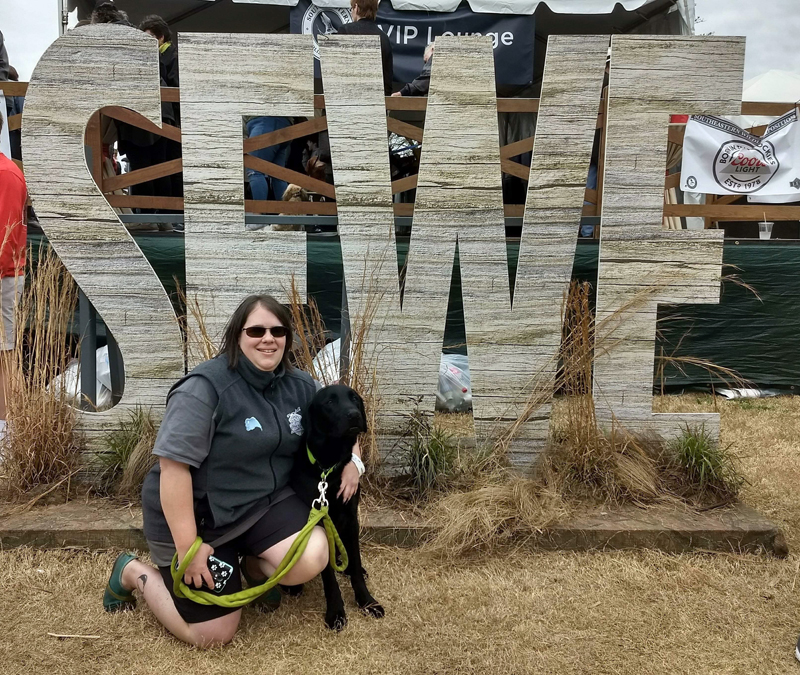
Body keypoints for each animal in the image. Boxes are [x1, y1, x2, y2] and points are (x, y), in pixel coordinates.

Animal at [290, 388, 384, 632]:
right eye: (329, 402)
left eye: (355, 399)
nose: (354, 415)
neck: (328, 468)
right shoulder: (319, 521)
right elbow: (329, 577)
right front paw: (335, 613)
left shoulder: (351, 518)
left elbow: (356, 561)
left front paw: (367, 601)